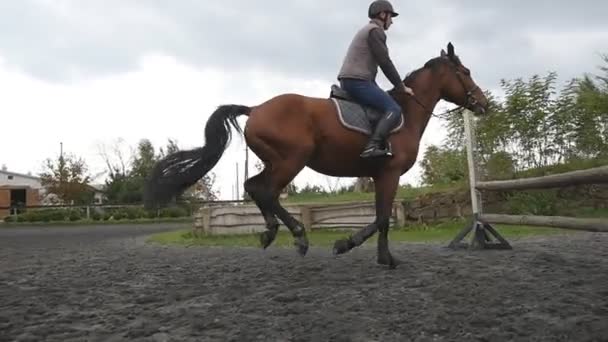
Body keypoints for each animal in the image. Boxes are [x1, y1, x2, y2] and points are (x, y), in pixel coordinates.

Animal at [145, 41, 492, 268]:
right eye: (465, 71)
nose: (483, 103)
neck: (405, 113)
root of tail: (256, 109)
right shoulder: (389, 174)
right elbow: (381, 218)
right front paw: (357, 249)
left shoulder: (379, 175)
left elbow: (381, 217)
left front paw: (377, 255)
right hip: (291, 160)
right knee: (265, 191)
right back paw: (297, 236)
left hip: (276, 161)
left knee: (253, 186)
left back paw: (270, 232)